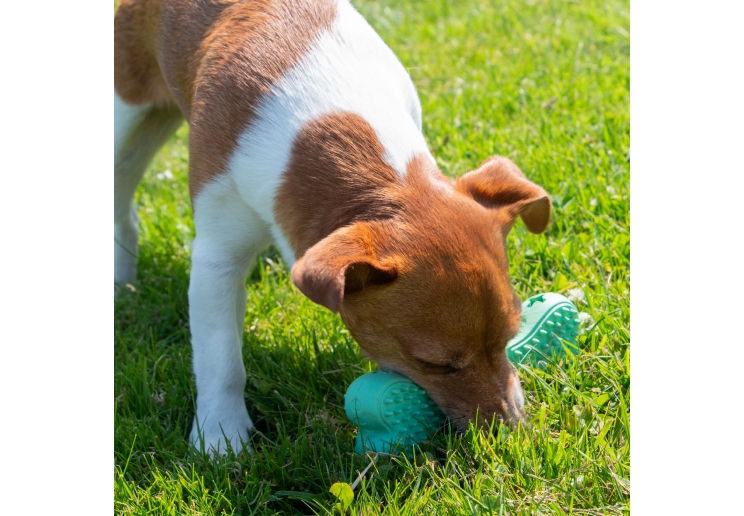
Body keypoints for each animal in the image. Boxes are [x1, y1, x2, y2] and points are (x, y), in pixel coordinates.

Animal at [112, 0, 552, 452]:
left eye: (510, 337)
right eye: (435, 363)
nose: (511, 431)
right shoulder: (217, 256)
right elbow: (221, 358)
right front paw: (221, 436)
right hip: (125, 121)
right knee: (122, 209)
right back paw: (121, 283)